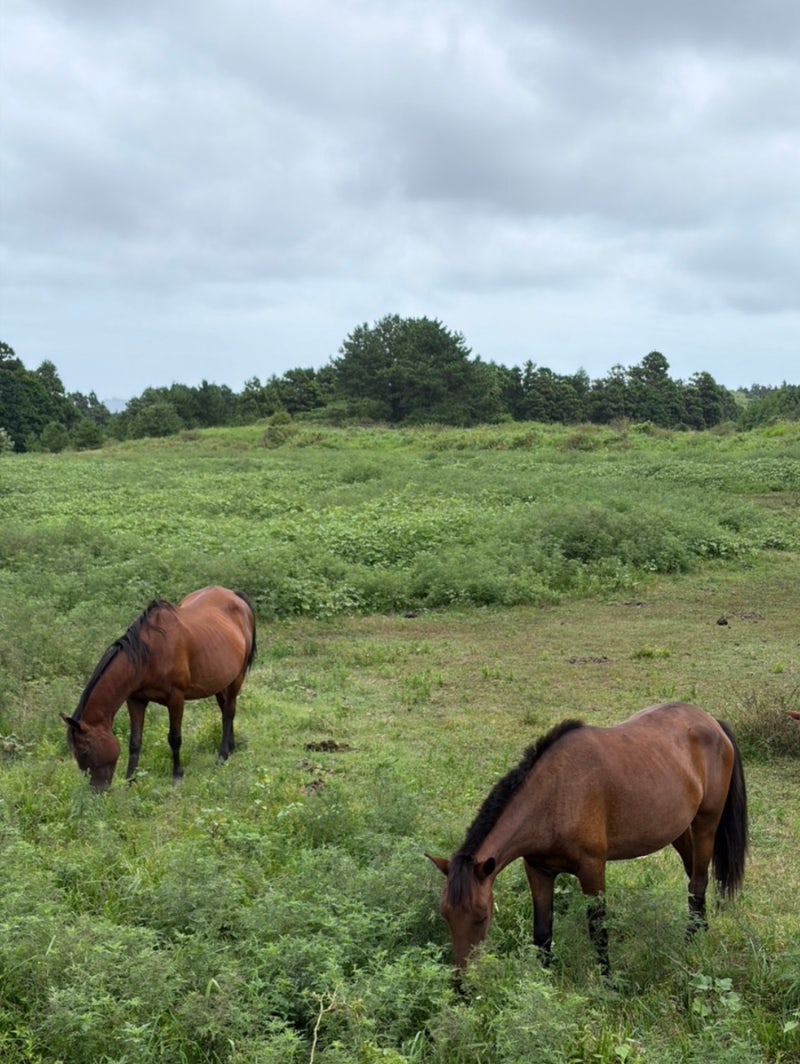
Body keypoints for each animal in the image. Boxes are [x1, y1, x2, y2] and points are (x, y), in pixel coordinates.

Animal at [61, 586, 257, 791]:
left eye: (84, 752)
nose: (96, 791)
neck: (147, 655)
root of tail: (235, 595)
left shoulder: (176, 698)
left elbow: (175, 738)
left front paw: (177, 776)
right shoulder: (136, 700)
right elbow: (135, 742)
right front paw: (130, 781)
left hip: (237, 676)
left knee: (229, 711)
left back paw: (222, 755)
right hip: (220, 679)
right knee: (224, 709)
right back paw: (231, 747)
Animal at [427, 702, 748, 977]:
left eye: (481, 916)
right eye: (446, 915)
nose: (461, 985)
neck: (554, 797)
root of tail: (712, 722)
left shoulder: (592, 870)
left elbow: (599, 931)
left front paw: (608, 984)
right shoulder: (538, 871)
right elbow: (542, 932)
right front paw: (544, 981)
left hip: (706, 823)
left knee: (698, 882)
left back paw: (689, 943)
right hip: (678, 830)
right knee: (694, 875)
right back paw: (701, 929)